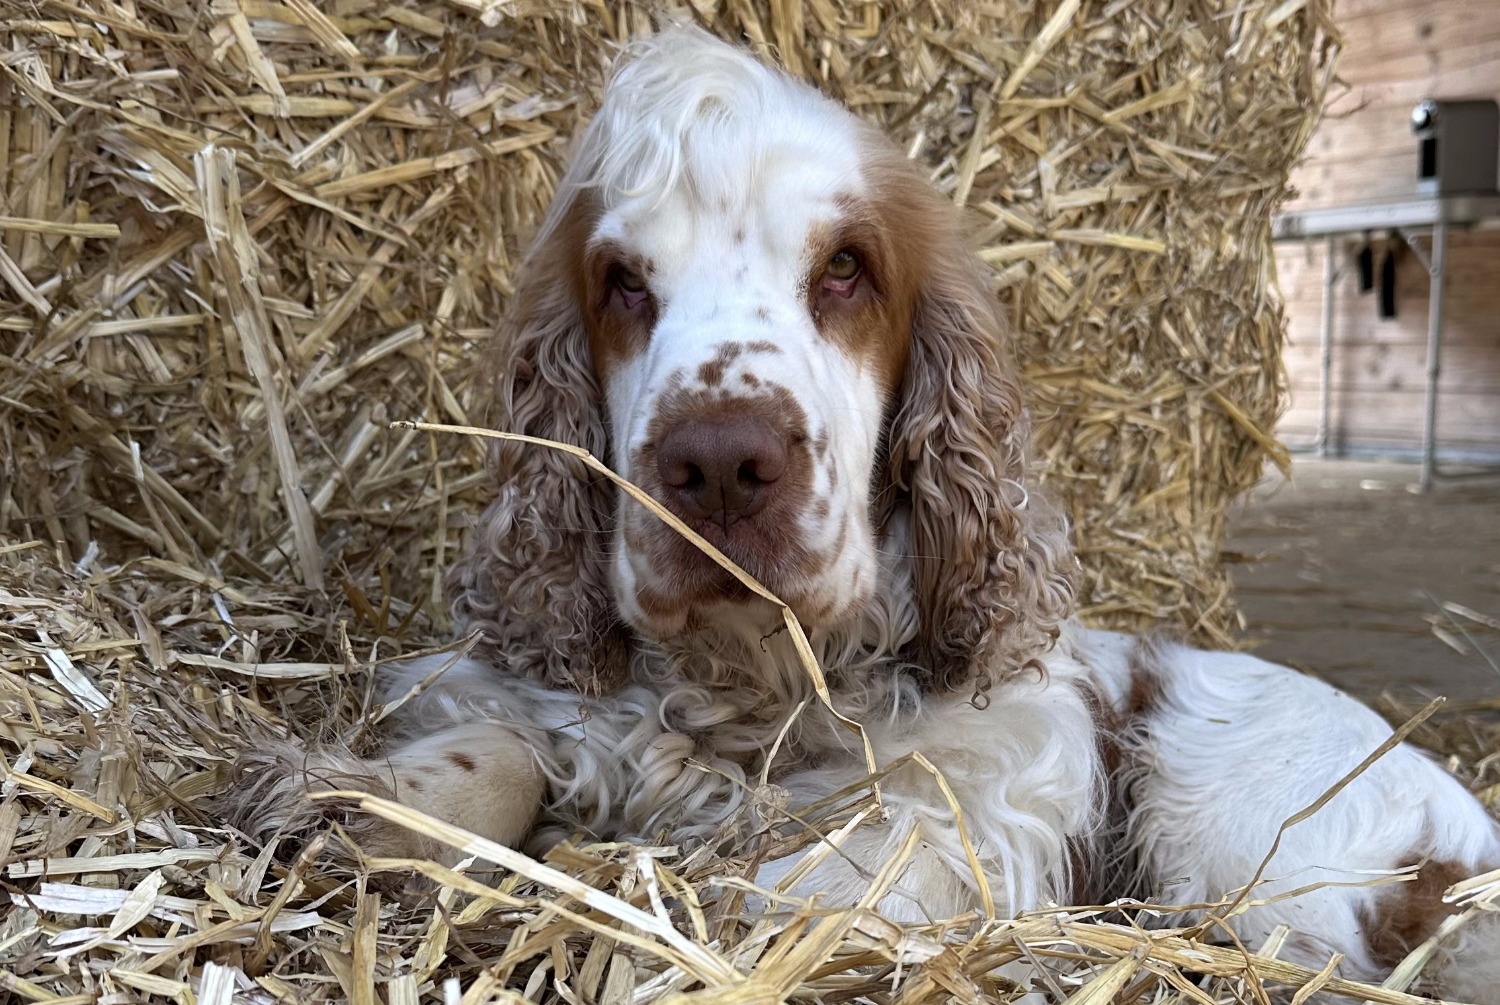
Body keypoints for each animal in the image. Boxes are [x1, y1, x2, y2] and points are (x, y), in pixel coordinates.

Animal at [231, 27, 1500, 1002]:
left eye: (845, 268)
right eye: (622, 284)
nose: (720, 462)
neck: (751, 686)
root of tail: (1468, 839)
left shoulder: (952, 819)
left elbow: (755, 873)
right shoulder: (533, 695)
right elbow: (509, 747)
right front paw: (369, 809)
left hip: (1234, 824)